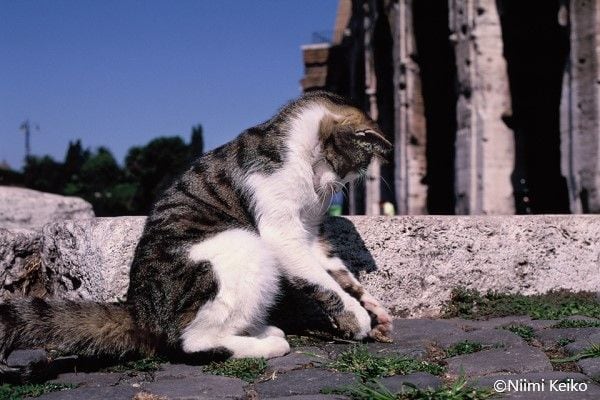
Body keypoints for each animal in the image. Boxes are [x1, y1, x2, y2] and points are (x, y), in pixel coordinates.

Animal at [0, 90, 394, 366]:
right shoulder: (282, 233)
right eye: (353, 166)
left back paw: (261, 330)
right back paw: (268, 343)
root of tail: (140, 312)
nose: (336, 187)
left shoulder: (309, 236)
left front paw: (373, 307)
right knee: (192, 342)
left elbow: (337, 273)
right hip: (242, 243)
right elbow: (322, 282)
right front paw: (355, 317)